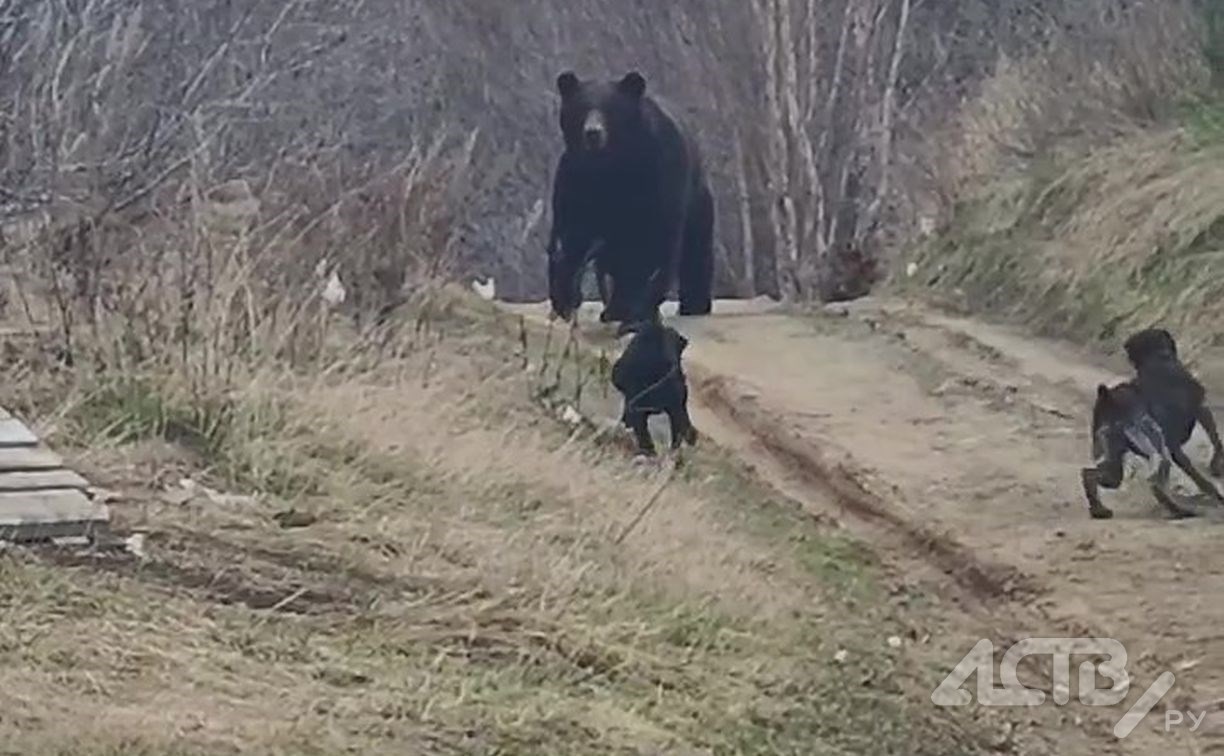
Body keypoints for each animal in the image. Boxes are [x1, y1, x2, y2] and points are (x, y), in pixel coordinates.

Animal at [546, 70, 715, 325]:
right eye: (582, 108)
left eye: (610, 108)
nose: (593, 133)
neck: (613, 164)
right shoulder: (576, 178)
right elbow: (570, 234)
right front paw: (565, 300)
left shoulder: (659, 174)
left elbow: (650, 242)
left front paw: (626, 306)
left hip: (697, 203)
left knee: (694, 253)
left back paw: (691, 304)